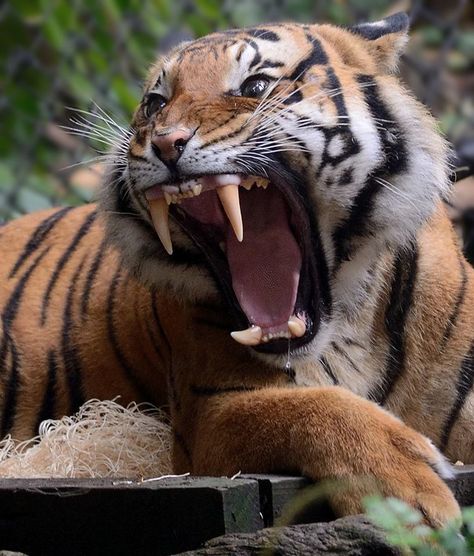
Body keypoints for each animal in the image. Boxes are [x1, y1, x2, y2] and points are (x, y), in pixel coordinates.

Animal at [1, 11, 472, 524]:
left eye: (256, 85)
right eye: (155, 103)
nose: (166, 143)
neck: (349, 322)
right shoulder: (210, 411)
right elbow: (311, 410)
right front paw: (409, 496)